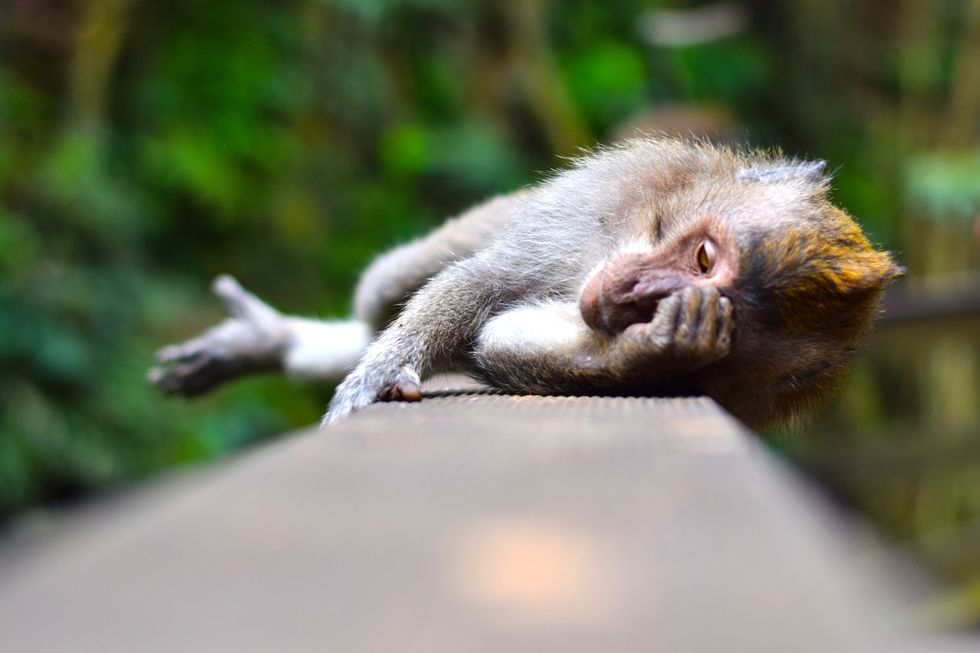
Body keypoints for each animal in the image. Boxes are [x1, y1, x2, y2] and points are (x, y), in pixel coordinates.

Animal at [149, 137, 902, 430]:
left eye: (725, 313)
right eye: (703, 257)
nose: (632, 294)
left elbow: (502, 341)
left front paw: (661, 348)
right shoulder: (595, 209)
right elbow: (484, 287)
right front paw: (380, 373)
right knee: (390, 287)